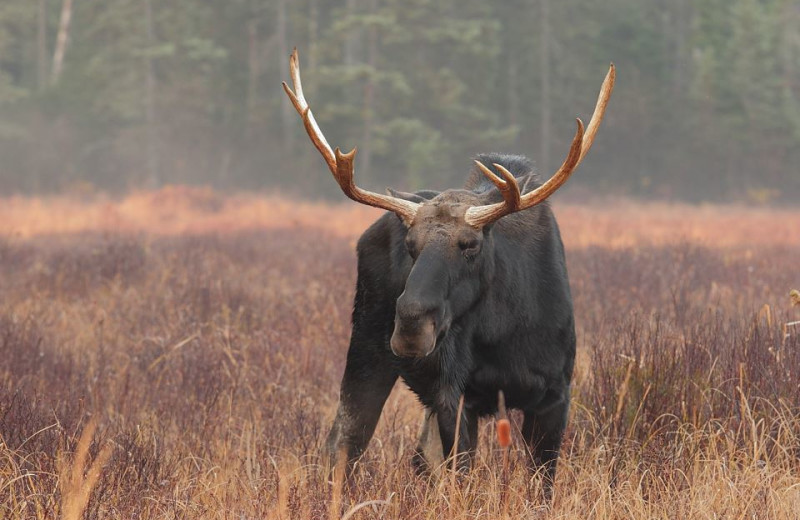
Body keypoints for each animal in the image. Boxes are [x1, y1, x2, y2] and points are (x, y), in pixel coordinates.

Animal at [284, 48, 616, 492]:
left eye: (470, 245)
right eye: (411, 246)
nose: (411, 324)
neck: (505, 332)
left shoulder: (554, 395)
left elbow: (540, 484)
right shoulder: (455, 397)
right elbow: (461, 481)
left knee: (414, 457)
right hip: (367, 348)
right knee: (344, 443)